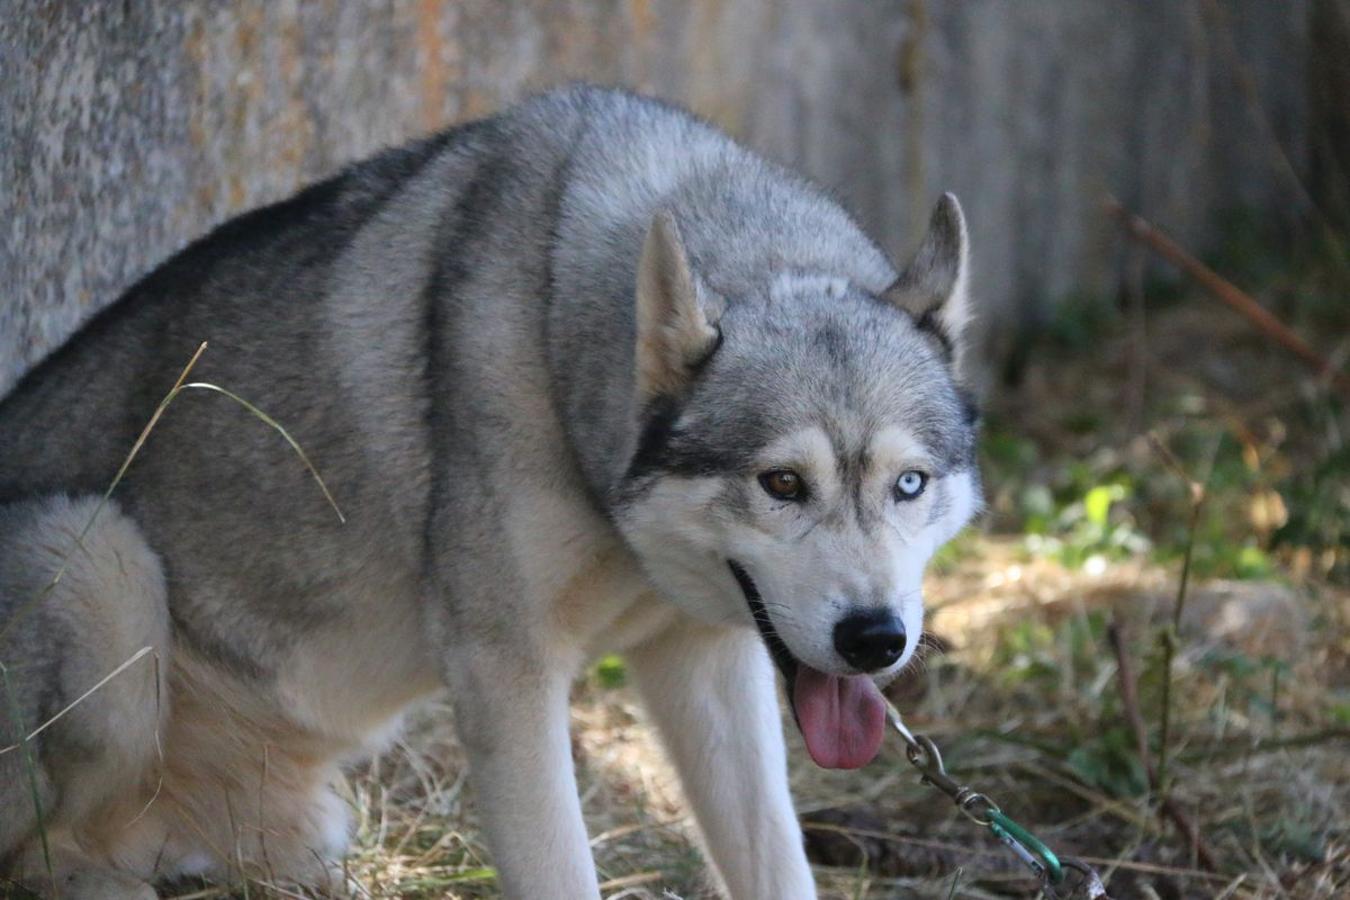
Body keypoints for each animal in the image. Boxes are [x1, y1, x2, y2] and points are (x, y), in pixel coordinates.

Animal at [0, 86, 977, 900]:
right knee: (45, 858)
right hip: (101, 560)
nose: (875, 639)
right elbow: (561, 873)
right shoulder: (507, 676)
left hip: (308, 818)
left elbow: (775, 859)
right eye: (782, 483)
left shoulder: (705, 660)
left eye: (909, 485)